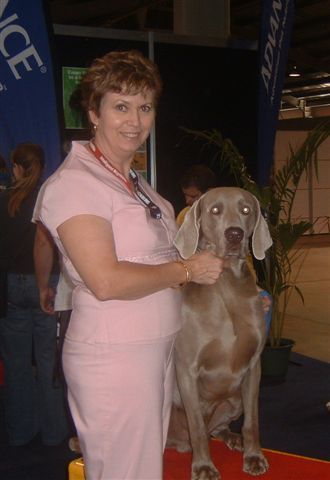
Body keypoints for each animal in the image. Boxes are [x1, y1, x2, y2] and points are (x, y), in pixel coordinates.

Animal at [168, 187, 274, 480]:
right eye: (215, 210)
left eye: (246, 210)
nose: (235, 234)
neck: (225, 282)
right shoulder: (187, 369)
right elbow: (197, 428)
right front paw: (204, 467)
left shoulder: (254, 366)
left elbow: (253, 421)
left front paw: (254, 456)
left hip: (234, 400)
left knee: (218, 428)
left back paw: (233, 438)